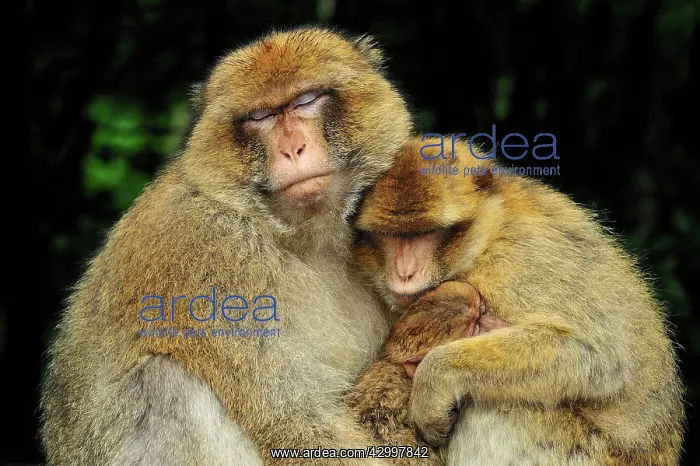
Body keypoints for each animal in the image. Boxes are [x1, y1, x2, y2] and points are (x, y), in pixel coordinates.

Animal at [39, 27, 414, 466]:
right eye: (260, 117)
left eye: (306, 100)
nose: (293, 149)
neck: (295, 236)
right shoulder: (212, 257)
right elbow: (293, 419)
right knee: (163, 384)